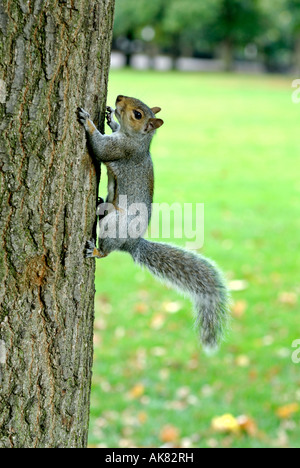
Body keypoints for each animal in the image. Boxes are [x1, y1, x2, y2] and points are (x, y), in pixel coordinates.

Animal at [77, 96, 230, 352]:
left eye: (138, 114)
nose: (118, 97)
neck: (138, 140)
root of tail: (131, 243)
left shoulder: (122, 150)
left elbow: (100, 148)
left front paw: (87, 121)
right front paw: (110, 119)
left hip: (115, 224)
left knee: (106, 250)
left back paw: (96, 249)